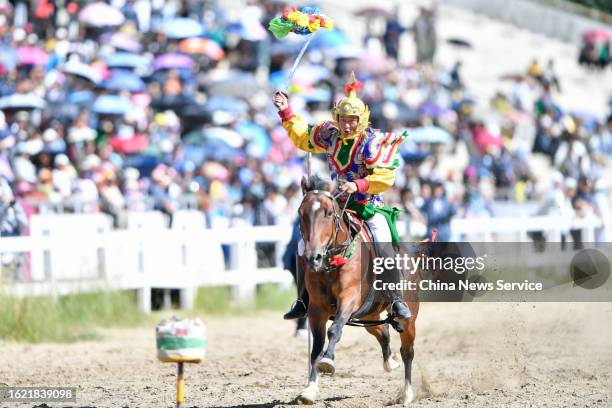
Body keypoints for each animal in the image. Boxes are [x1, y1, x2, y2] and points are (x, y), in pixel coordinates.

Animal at [296, 175, 420, 404]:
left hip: (408, 319)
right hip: (369, 315)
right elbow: (316, 346)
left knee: (407, 351)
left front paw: (328, 361)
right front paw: (310, 390)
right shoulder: (317, 309)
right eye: (301, 213)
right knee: (383, 332)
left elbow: (334, 330)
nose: (312, 257)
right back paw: (390, 362)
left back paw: (407, 394)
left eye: (328, 213)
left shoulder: (349, 299)